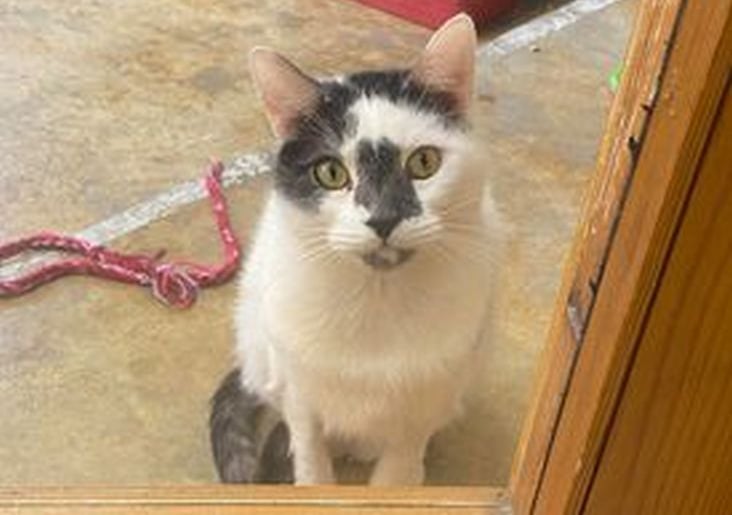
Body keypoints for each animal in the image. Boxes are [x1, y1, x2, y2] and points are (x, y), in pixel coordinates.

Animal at [207, 13, 504, 488]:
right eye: (330, 172)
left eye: (424, 163)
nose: (383, 219)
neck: (377, 301)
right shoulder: (300, 389)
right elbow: (310, 455)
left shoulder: (426, 401)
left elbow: (397, 472)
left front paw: (400, 478)